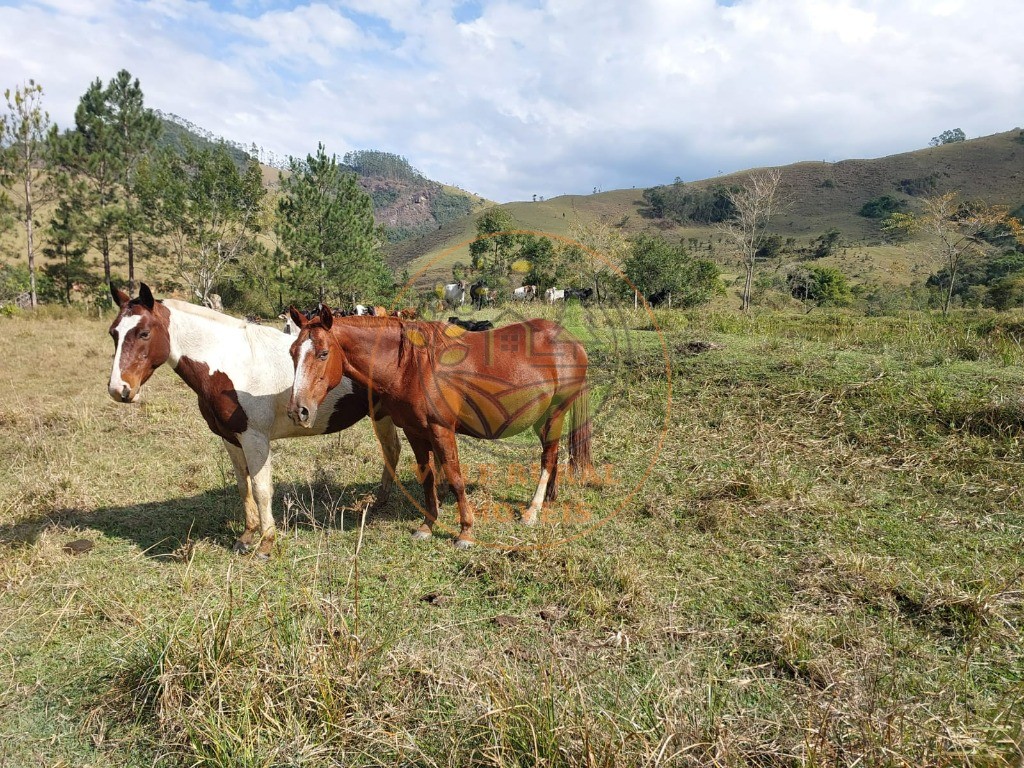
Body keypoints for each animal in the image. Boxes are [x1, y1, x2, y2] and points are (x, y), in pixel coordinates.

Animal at [108, 282, 399, 561]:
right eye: (114, 333)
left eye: (144, 333)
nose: (119, 389)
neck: (233, 364)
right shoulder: (230, 438)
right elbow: (243, 485)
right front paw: (247, 536)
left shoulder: (255, 439)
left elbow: (261, 489)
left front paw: (266, 543)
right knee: (391, 450)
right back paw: (381, 500)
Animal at [286, 305, 593, 548]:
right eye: (292, 353)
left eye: (324, 353)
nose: (298, 410)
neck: (410, 367)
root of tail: (571, 341)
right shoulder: (415, 431)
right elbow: (428, 478)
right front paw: (427, 525)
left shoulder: (441, 430)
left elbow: (455, 478)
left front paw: (465, 532)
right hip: (543, 418)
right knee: (552, 455)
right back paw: (549, 498)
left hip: (555, 413)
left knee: (548, 457)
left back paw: (532, 511)